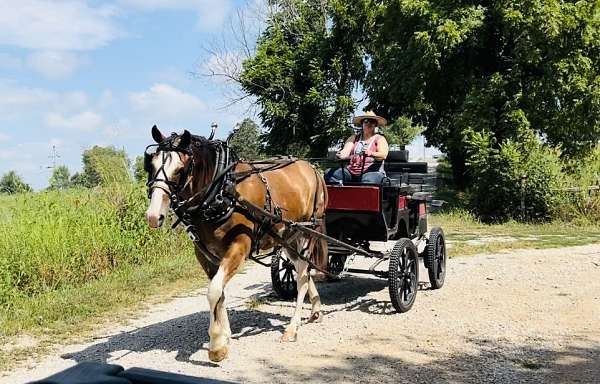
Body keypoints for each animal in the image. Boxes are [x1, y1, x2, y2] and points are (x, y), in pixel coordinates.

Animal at [144, 126, 328, 364]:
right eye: (151, 164)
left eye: (180, 169)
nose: (153, 216)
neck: (222, 190)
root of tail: (312, 168)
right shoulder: (205, 253)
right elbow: (219, 293)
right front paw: (224, 336)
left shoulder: (239, 246)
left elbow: (213, 291)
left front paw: (216, 346)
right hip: (288, 235)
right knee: (299, 269)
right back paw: (316, 308)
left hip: (307, 231)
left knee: (303, 276)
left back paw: (292, 328)